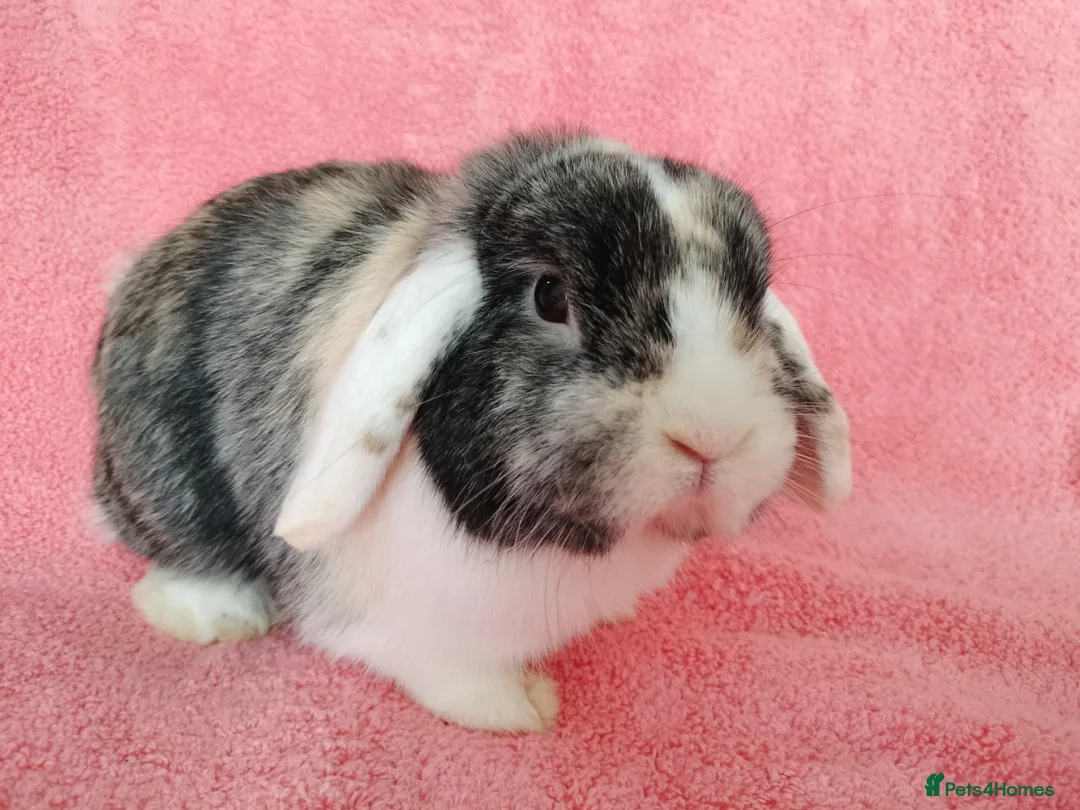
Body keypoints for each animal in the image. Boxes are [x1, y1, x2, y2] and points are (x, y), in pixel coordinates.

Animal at [91, 130, 851, 732]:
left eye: (751, 297)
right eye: (550, 295)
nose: (711, 437)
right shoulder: (426, 624)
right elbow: (456, 673)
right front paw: (521, 709)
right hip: (167, 483)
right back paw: (219, 616)